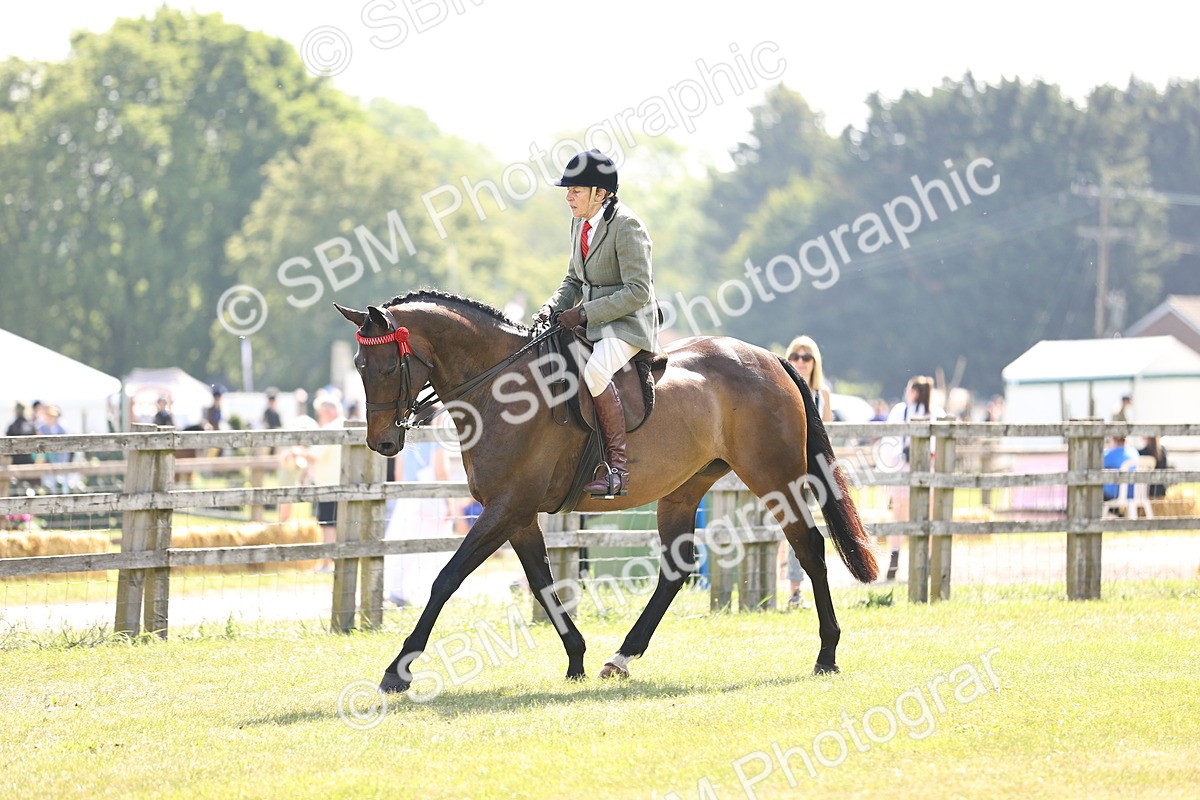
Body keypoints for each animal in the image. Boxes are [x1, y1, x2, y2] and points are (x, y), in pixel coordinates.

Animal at [335, 290, 879, 694]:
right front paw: (576, 657)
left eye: (387, 367)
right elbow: (542, 583)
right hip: (684, 490)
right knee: (676, 569)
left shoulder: (505, 508)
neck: (501, 387)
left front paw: (397, 671)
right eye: (358, 365)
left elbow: (446, 579)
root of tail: (771, 358)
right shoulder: (518, 514)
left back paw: (827, 652)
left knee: (809, 548)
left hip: (775, 478)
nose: (383, 443)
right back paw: (622, 656)